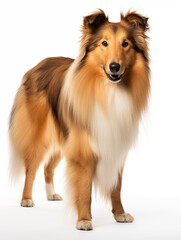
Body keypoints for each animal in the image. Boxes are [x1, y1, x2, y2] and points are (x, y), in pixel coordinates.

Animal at [8, 9, 150, 231]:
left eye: (125, 43)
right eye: (104, 43)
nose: (115, 67)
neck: (109, 91)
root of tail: (38, 65)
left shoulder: (116, 146)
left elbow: (116, 186)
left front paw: (120, 214)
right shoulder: (83, 150)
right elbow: (84, 189)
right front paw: (84, 220)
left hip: (64, 137)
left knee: (48, 167)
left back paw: (51, 194)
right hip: (39, 136)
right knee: (31, 168)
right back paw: (26, 199)